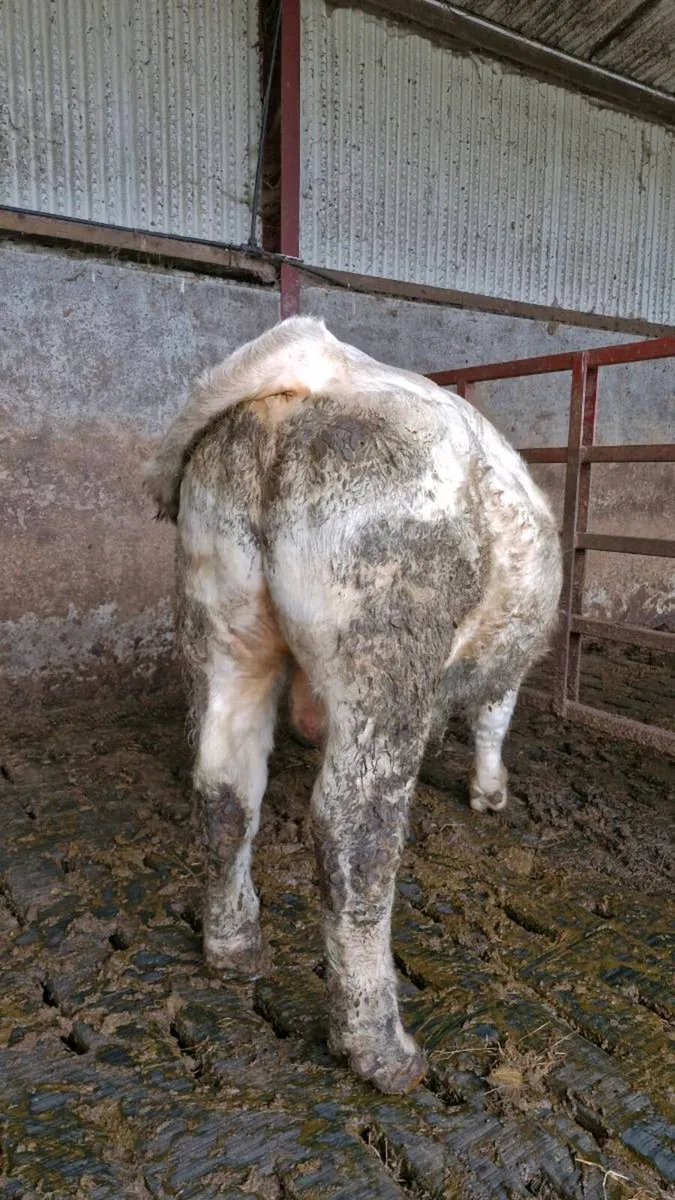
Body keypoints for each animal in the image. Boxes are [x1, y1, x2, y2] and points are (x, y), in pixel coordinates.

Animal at [144, 316, 562, 1095]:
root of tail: (321, 373)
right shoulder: (505, 669)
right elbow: (493, 720)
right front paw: (490, 794)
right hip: (385, 645)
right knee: (355, 833)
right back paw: (379, 1047)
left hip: (222, 630)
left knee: (223, 795)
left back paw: (233, 944)